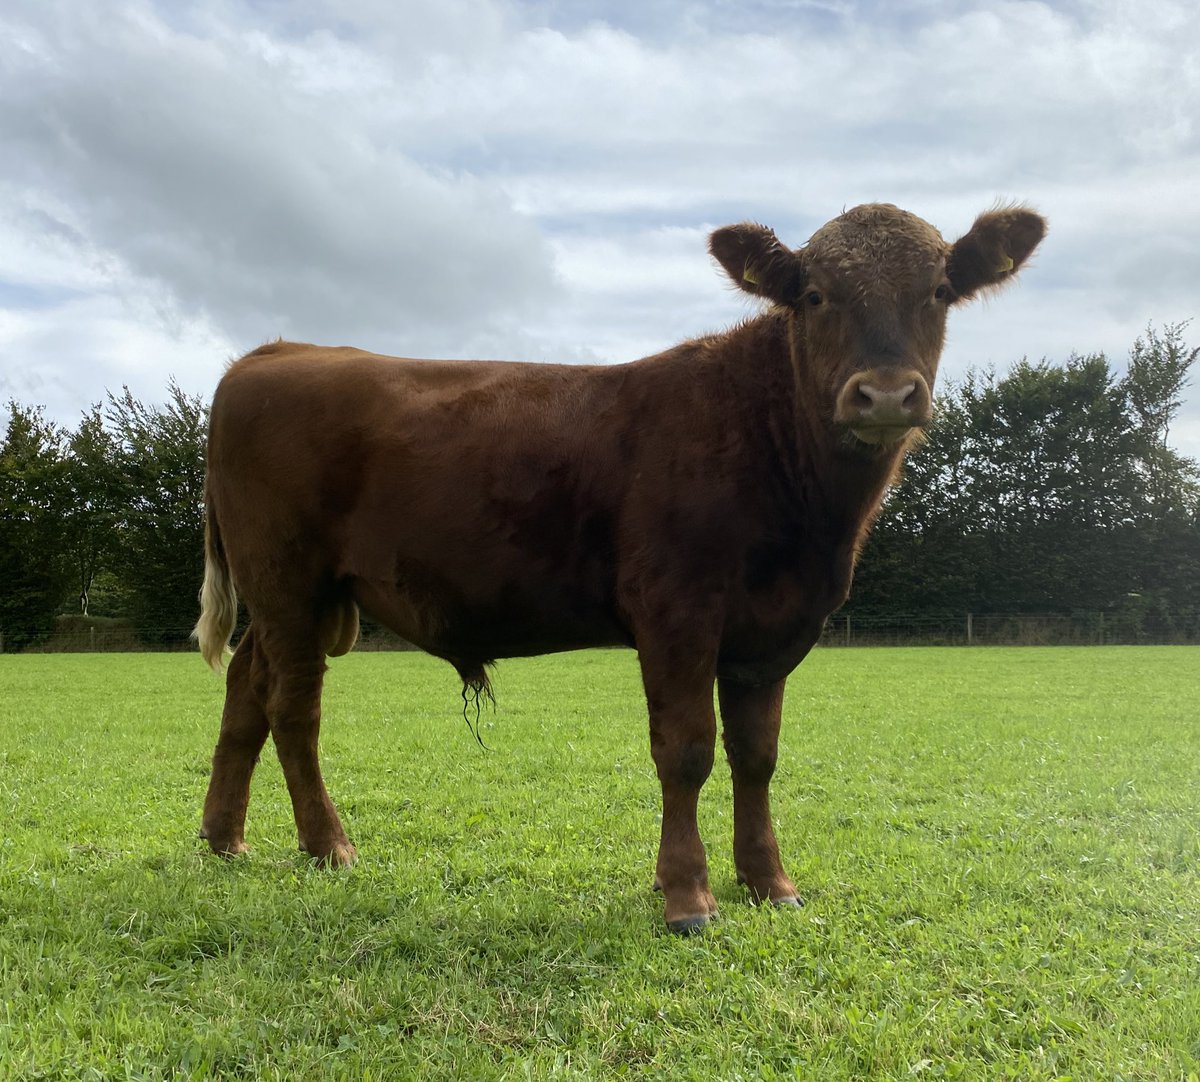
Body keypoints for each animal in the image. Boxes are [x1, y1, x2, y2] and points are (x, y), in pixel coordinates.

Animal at [194, 202, 1045, 933]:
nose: (886, 395)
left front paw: (770, 882)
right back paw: (327, 845)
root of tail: (274, 354)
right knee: (292, 710)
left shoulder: (773, 631)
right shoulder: (676, 610)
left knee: (245, 691)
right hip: (288, 581)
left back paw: (223, 838)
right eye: (813, 294)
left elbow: (758, 757)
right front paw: (689, 896)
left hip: (290, 599)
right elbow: (687, 751)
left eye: (940, 290)